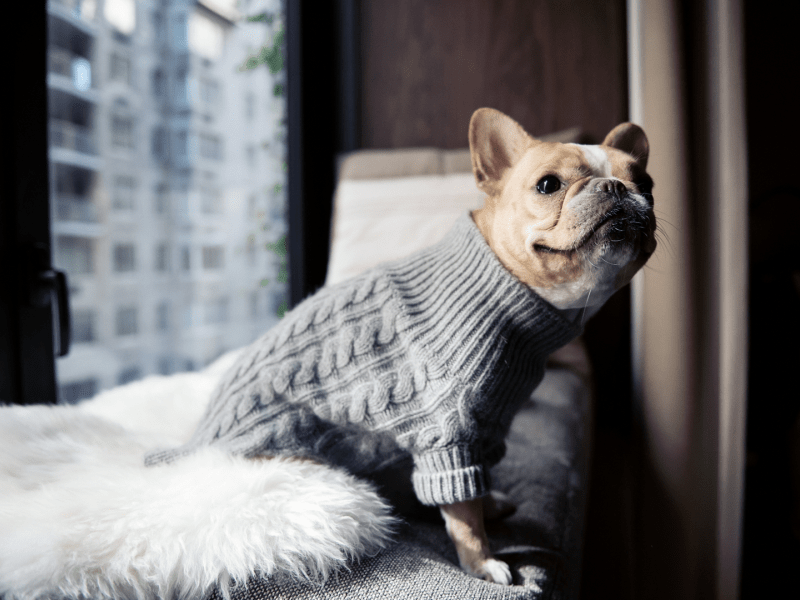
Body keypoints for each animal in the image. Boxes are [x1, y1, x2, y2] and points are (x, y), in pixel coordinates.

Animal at [148, 108, 656, 584]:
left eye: (646, 184)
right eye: (549, 185)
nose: (616, 187)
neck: (505, 287)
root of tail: (195, 444)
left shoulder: (486, 426)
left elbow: (476, 486)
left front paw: (489, 504)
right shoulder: (448, 432)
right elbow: (464, 514)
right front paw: (482, 562)